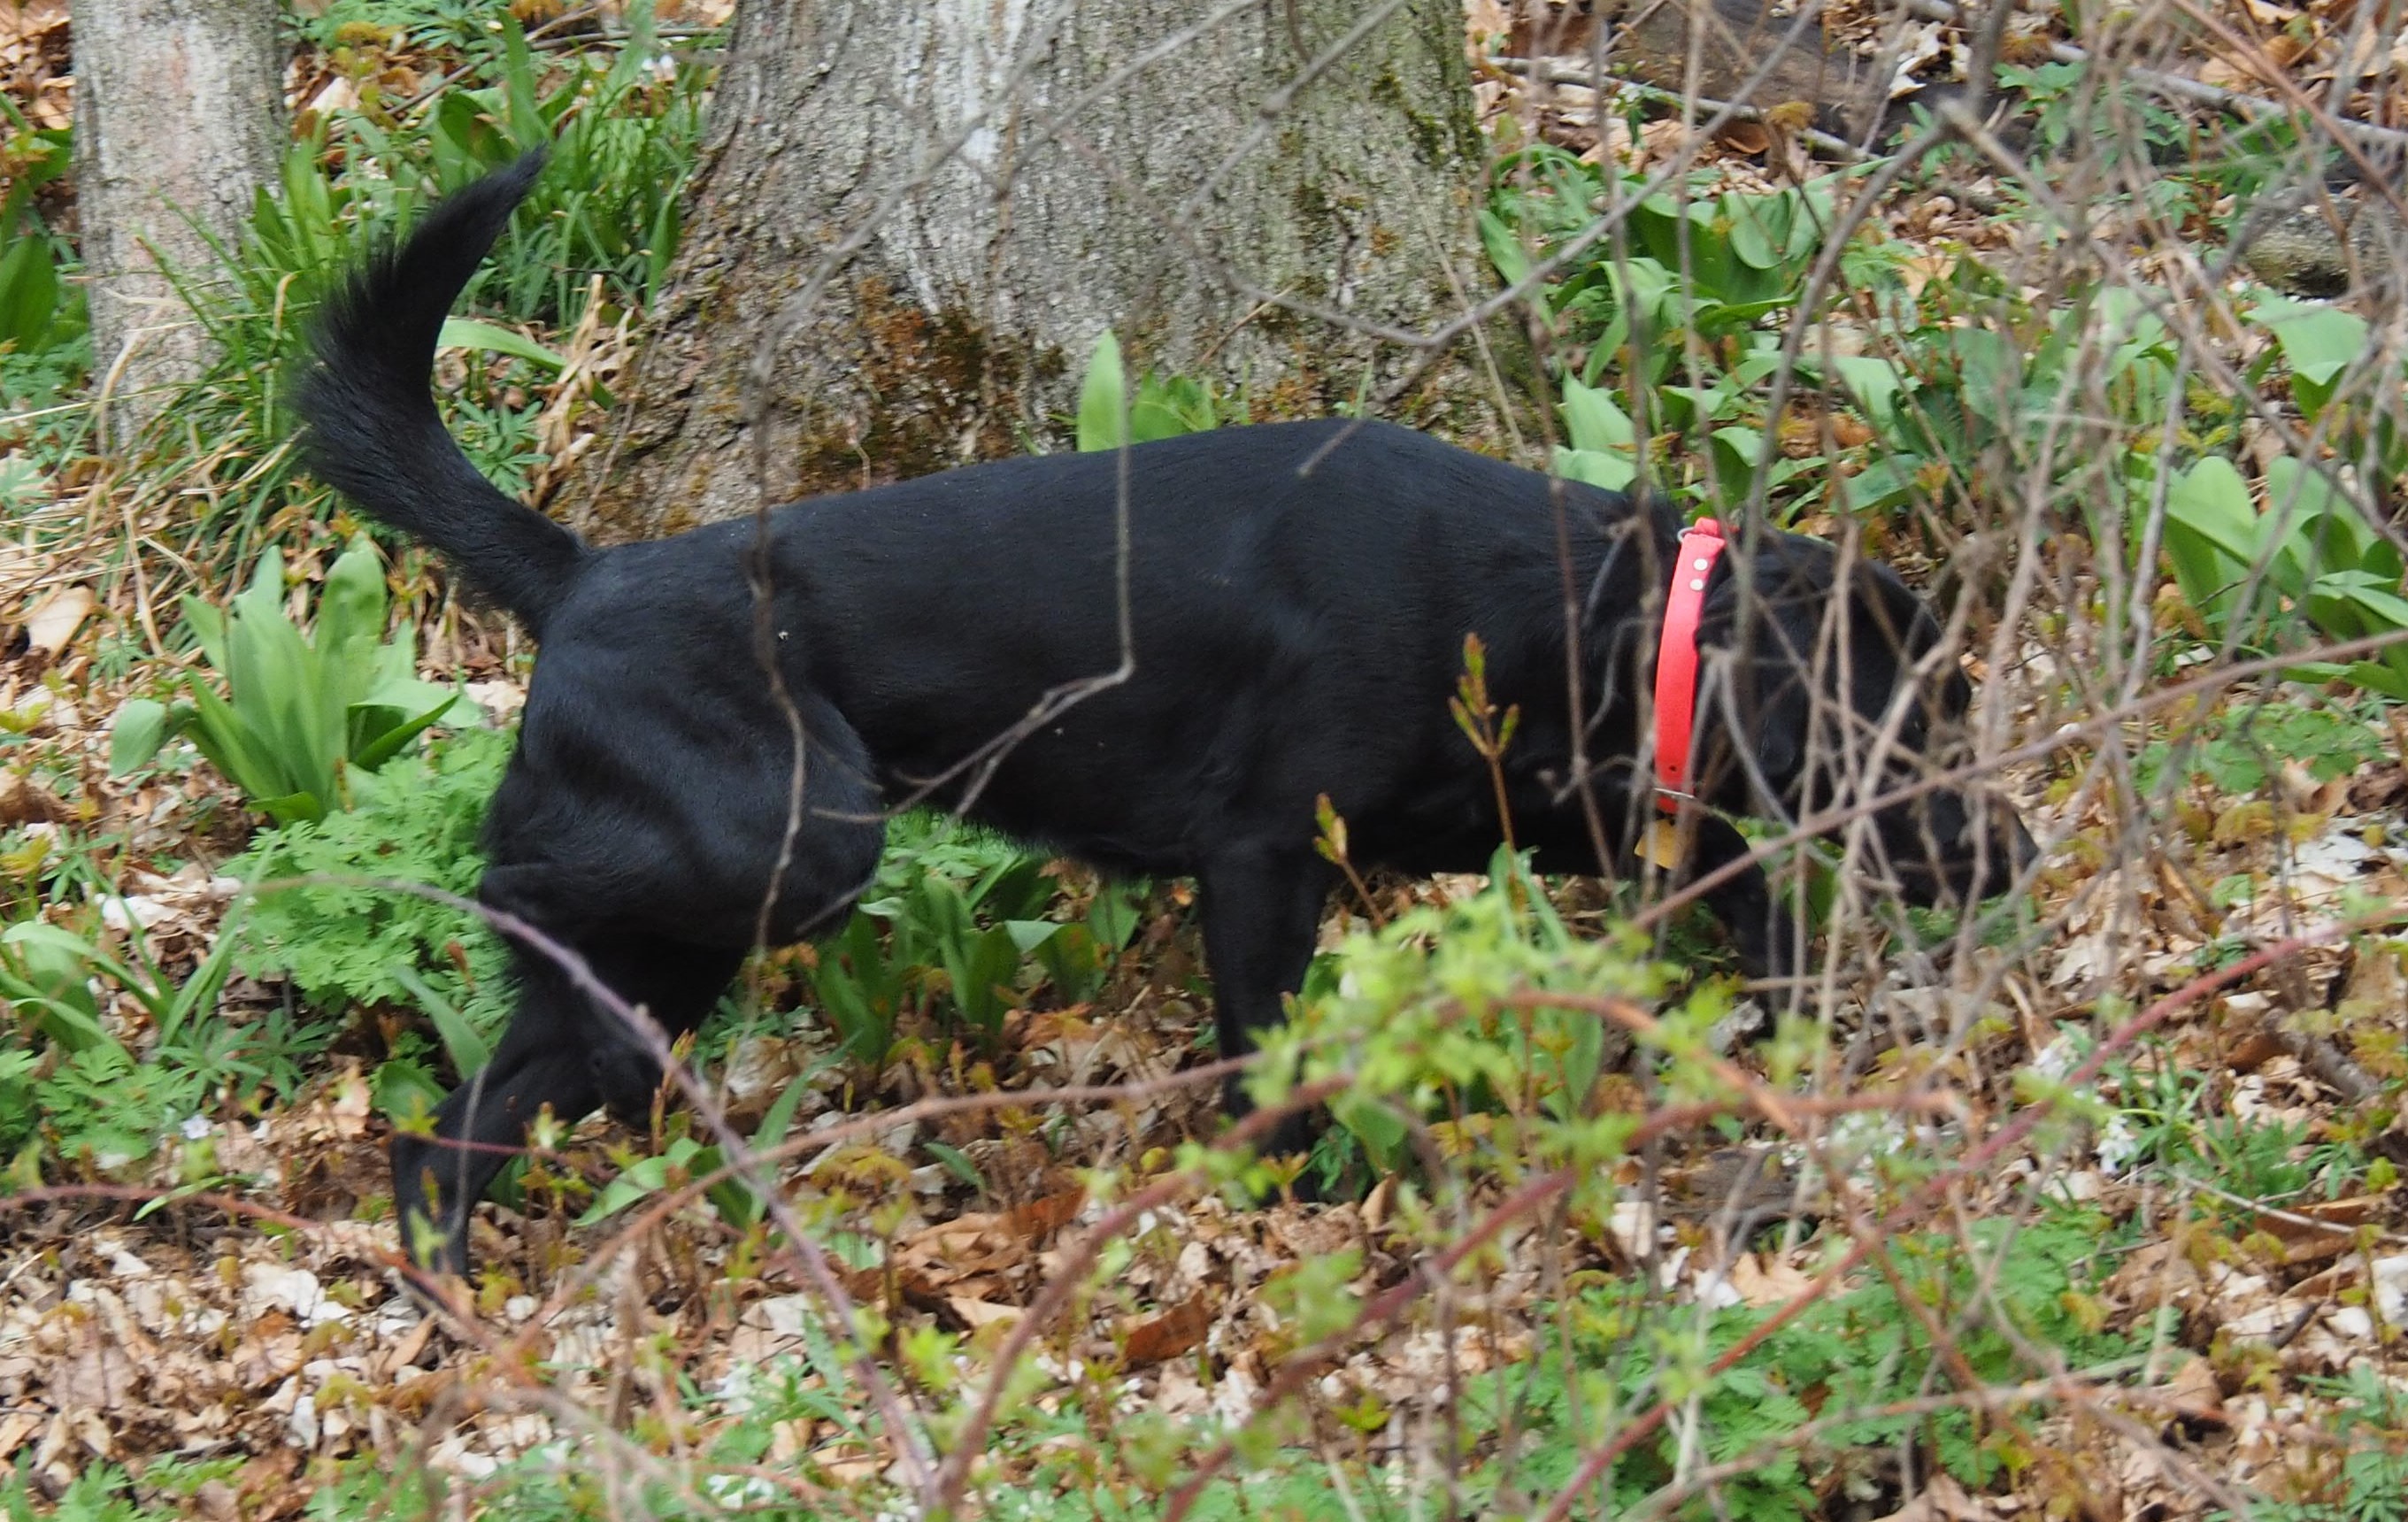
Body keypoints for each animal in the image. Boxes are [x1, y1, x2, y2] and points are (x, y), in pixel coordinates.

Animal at [296, 158, 2032, 1271]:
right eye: (1923, 721)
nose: (2014, 855)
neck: (1585, 613)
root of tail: (585, 572)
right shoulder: (1263, 858)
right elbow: (1272, 1055)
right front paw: (1290, 1200)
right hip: (796, 843)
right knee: (519, 902)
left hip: (669, 967)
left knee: (458, 1119)